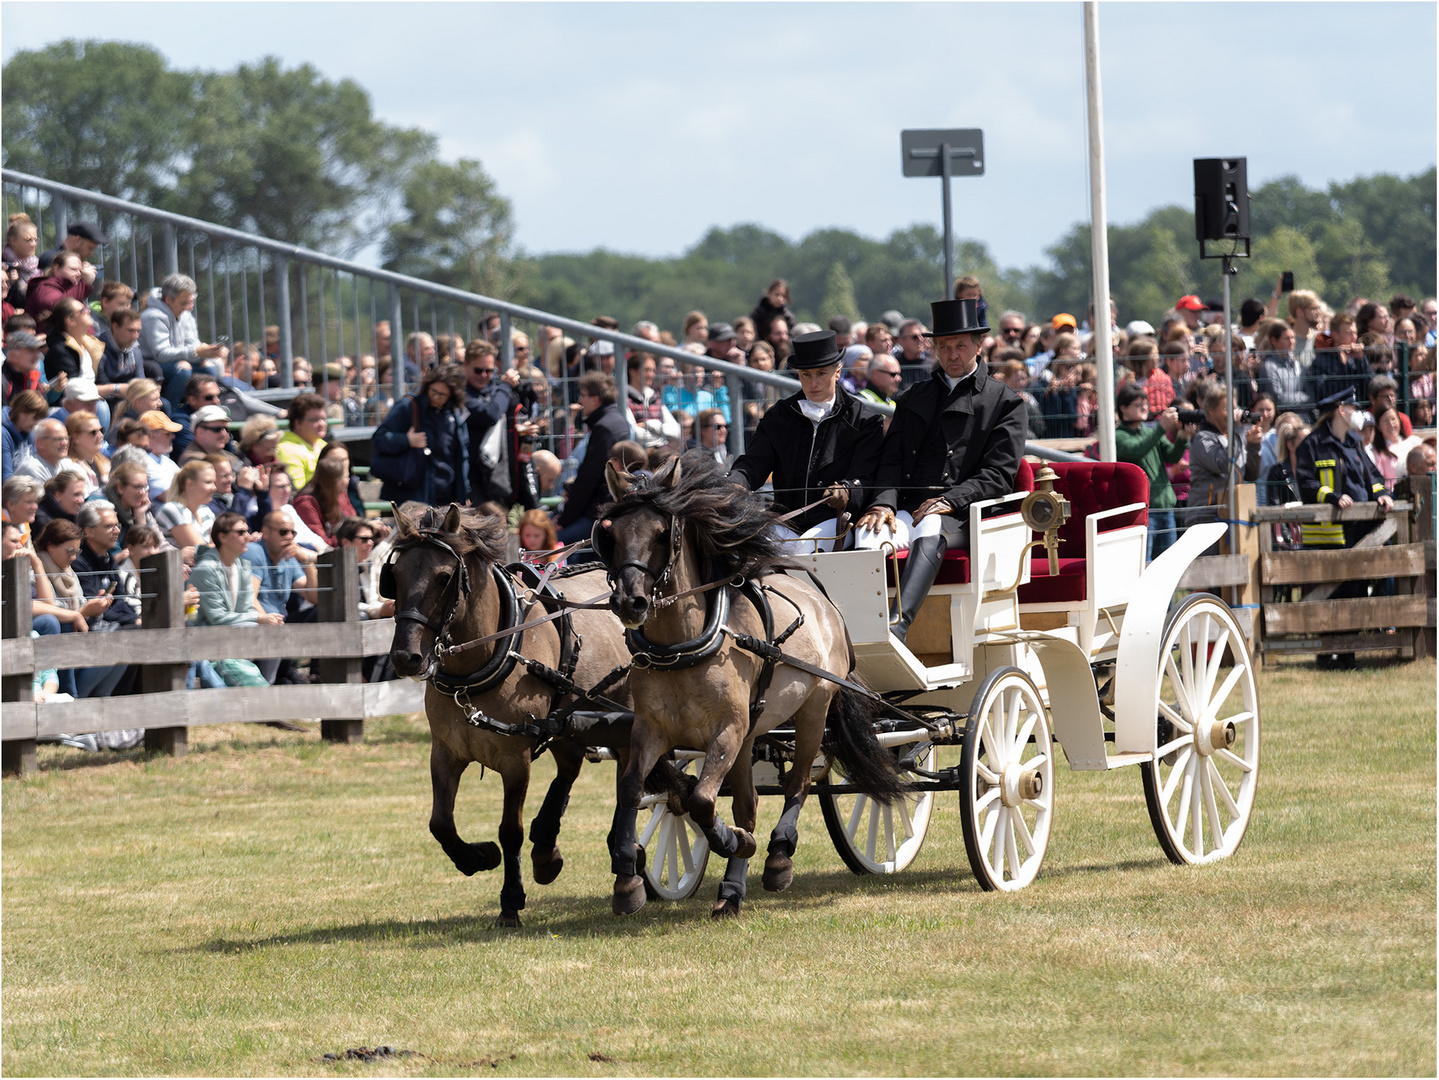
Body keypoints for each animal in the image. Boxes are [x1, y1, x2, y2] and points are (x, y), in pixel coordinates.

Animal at [385, 503, 633, 926]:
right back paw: (546, 848)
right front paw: (477, 857)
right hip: (567, 721)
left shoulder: (515, 759)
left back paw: (619, 848)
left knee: (631, 776)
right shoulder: (445, 752)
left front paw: (511, 900)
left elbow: (509, 830)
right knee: (570, 769)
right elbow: (440, 823)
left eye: (445, 577)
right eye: (395, 576)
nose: (406, 657)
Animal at [595, 451, 897, 914]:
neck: (680, 647)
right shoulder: (651, 729)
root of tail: (825, 602)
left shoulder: (728, 730)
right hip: (751, 734)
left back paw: (776, 856)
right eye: (609, 534)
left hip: (812, 709)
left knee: (798, 783)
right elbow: (632, 790)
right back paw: (732, 890)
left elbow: (701, 800)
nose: (631, 602)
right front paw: (628, 880)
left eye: (663, 533)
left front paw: (733, 842)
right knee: (747, 803)